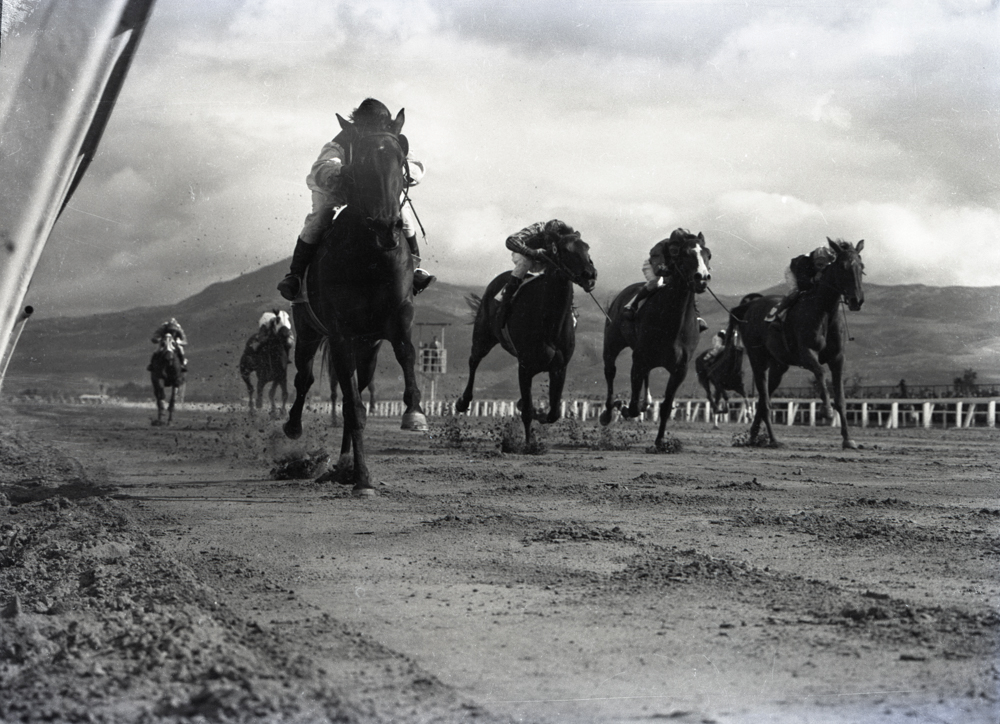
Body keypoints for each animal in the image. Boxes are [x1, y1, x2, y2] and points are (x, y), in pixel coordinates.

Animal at [282, 107, 426, 494]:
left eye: (401, 156)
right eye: (360, 160)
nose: (386, 227)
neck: (371, 258)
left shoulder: (397, 319)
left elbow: (407, 354)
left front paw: (414, 413)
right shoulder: (340, 334)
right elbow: (353, 407)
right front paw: (362, 479)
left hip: (368, 349)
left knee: (353, 391)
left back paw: (344, 461)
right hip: (309, 332)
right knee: (305, 379)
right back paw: (294, 428)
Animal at [456, 232, 600, 446]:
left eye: (587, 248)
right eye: (567, 250)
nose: (590, 274)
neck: (550, 322)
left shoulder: (559, 367)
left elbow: (553, 412)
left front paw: (533, 410)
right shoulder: (524, 367)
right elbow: (527, 411)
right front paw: (529, 444)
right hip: (483, 337)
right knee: (473, 361)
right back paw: (463, 401)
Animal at [600, 229, 712, 450]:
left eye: (708, 255)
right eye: (686, 253)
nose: (702, 278)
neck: (673, 320)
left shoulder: (680, 369)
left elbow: (667, 406)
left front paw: (661, 441)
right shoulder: (639, 358)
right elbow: (632, 406)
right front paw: (622, 407)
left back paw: (646, 402)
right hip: (612, 344)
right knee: (610, 371)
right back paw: (608, 412)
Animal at [728, 240, 868, 450]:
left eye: (862, 267)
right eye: (843, 267)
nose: (856, 300)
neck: (824, 311)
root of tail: (749, 306)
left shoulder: (837, 358)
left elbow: (841, 399)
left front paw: (848, 439)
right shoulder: (806, 353)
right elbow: (820, 372)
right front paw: (826, 410)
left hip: (779, 366)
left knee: (762, 400)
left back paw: (753, 437)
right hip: (758, 360)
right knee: (765, 401)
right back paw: (773, 440)